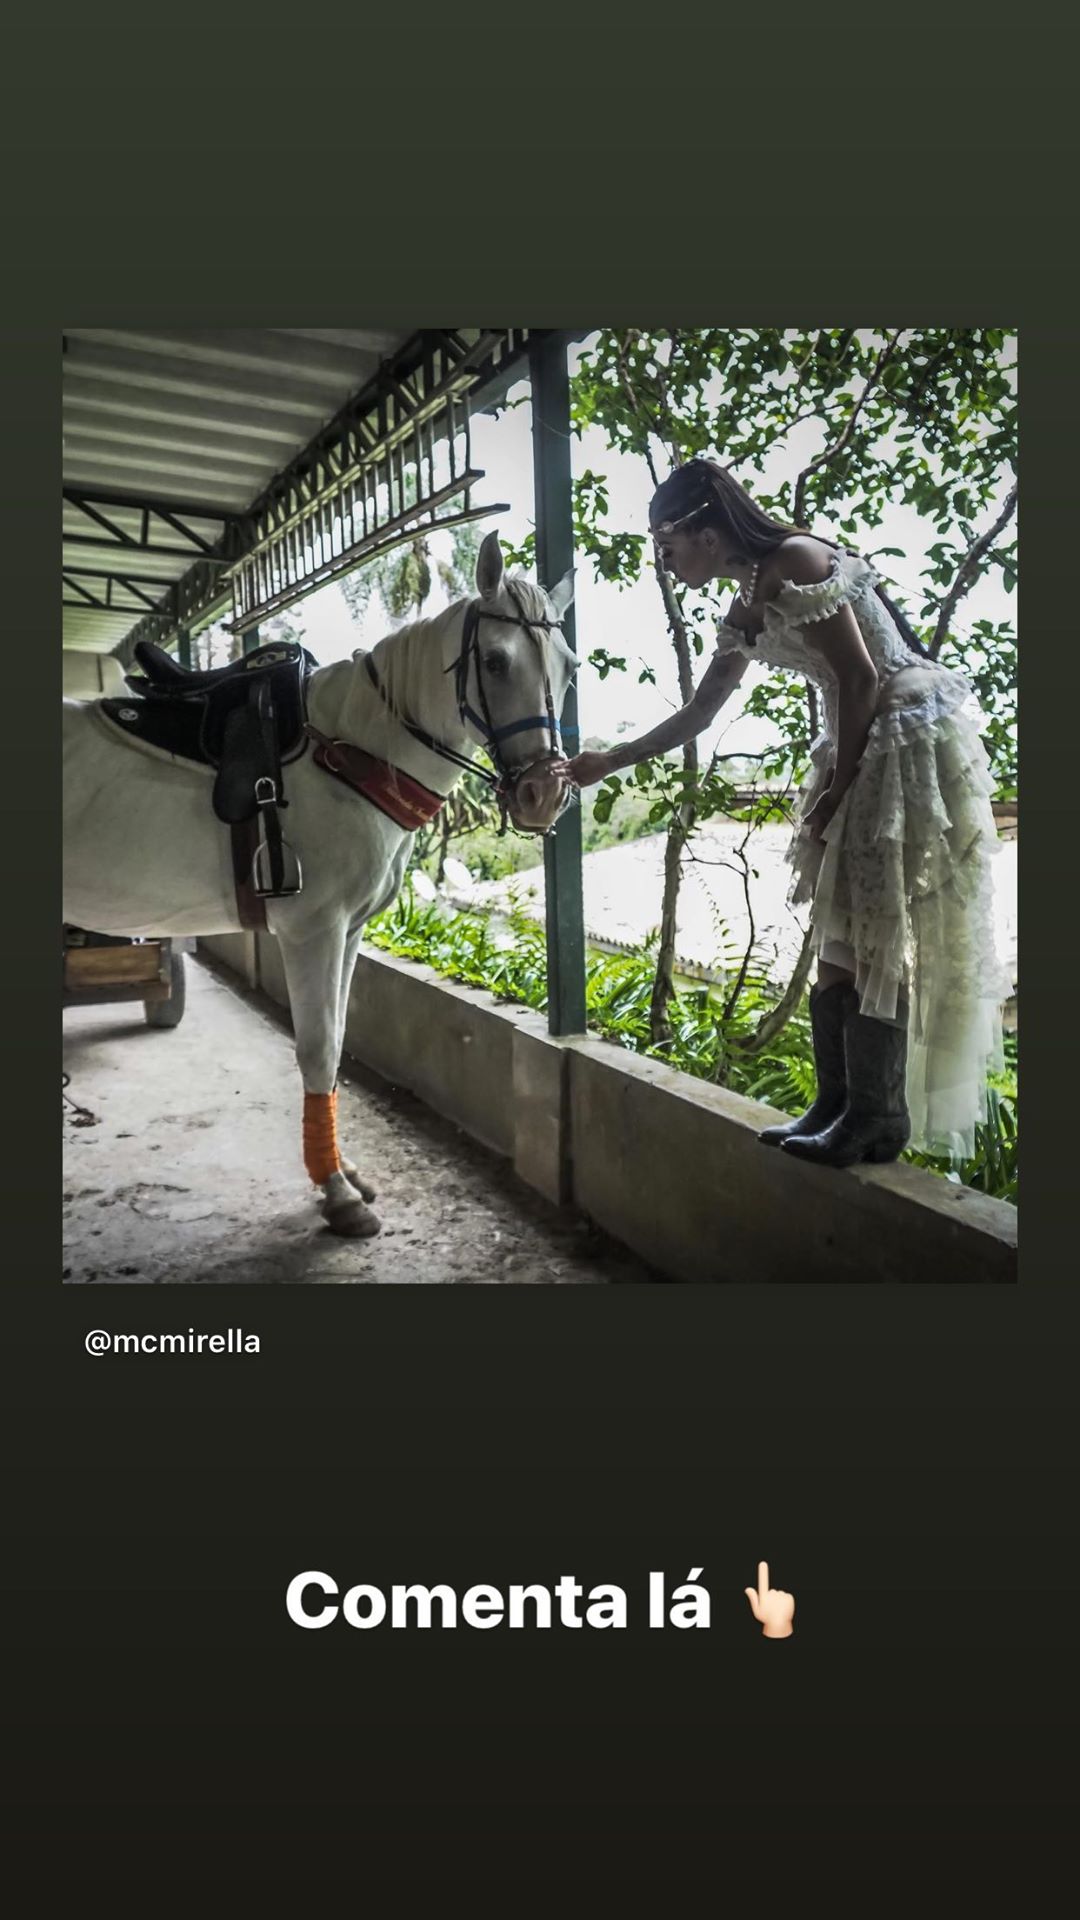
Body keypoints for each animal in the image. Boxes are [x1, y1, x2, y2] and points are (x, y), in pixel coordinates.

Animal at [63, 533, 577, 1238]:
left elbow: (336, 1044)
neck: (349, 752)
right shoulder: (312, 930)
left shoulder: (349, 930)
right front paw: (336, 1193)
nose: (542, 794)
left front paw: (342, 1172)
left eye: (569, 667)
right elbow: (318, 1048)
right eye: (496, 662)